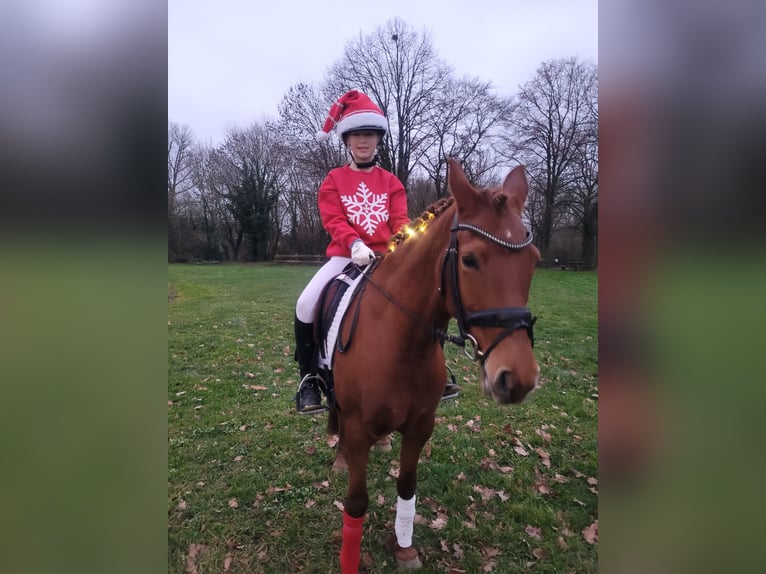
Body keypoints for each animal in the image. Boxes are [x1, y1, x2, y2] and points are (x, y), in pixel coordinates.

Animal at [328, 160, 544, 572]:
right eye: (469, 260)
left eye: (534, 261)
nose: (518, 379)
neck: (401, 345)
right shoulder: (360, 428)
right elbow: (357, 502)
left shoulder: (421, 427)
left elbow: (407, 486)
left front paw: (404, 547)